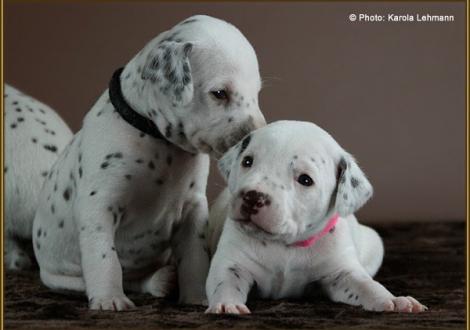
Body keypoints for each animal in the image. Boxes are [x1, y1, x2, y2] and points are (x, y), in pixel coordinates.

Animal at [32, 14, 266, 310]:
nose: (258, 135)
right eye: (219, 93)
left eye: (257, 92)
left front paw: (197, 298)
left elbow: (196, 257)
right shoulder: (99, 206)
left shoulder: (193, 209)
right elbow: (104, 257)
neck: (158, 141)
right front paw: (109, 299)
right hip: (60, 278)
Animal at [205, 120, 426, 314]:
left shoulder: (342, 273)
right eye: (247, 161)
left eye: (305, 180)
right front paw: (226, 304)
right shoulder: (232, 264)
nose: (252, 197)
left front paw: (394, 300)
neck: (286, 246)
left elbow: (367, 286)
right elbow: (224, 282)